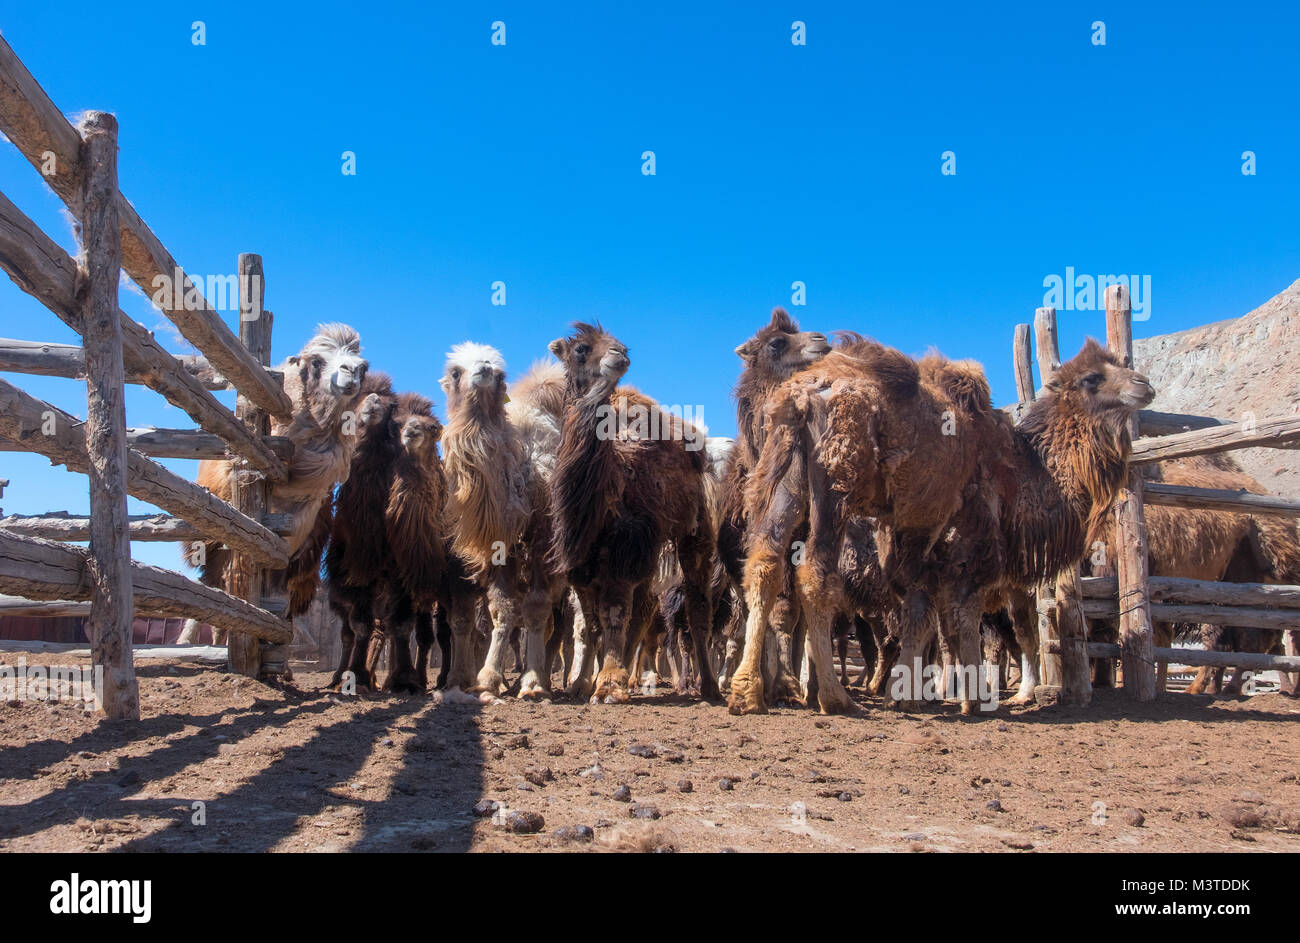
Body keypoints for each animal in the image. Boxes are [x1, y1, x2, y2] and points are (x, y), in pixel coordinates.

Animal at [546, 321, 717, 697]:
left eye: (618, 343)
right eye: (581, 348)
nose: (620, 353)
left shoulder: (627, 544)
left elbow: (614, 613)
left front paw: (609, 684)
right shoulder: (580, 559)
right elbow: (593, 623)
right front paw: (582, 684)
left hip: (694, 529)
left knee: (695, 608)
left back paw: (709, 687)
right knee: (642, 610)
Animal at [738, 338, 1154, 712]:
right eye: (1091, 378)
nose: (1144, 384)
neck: (1018, 472)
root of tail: (801, 396)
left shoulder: (915, 537)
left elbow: (922, 617)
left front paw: (907, 696)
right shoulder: (971, 538)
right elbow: (961, 617)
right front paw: (973, 699)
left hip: (785, 475)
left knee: (764, 562)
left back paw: (747, 692)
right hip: (836, 485)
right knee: (814, 576)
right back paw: (833, 697)